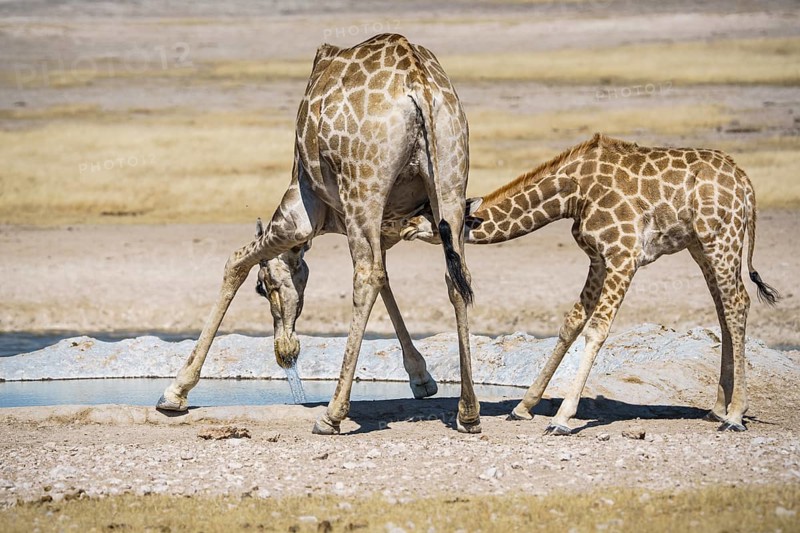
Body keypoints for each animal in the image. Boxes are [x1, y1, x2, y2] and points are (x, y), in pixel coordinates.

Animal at [156, 33, 483, 435]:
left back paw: (332, 413)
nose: (285, 354)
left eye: (263, 288)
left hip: (363, 187)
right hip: (450, 183)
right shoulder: (386, 225)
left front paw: (175, 392)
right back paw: (468, 412)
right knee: (455, 277)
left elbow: (236, 261)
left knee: (366, 276)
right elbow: (390, 281)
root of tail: (419, 86)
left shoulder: (300, 215)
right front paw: (422, 378)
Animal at [402, 133, 779, 434]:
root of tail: (746, 184)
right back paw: (717, 408)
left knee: (737, 304)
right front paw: (523, 406)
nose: (404, 225)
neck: (573, 194)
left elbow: (597, 329)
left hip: (721, 240)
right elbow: (571, 323)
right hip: (701, 246)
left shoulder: (624, 254)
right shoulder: (597, 258)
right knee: (724, 308)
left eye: (433, 216)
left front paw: (562, 418)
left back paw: (735, 415)